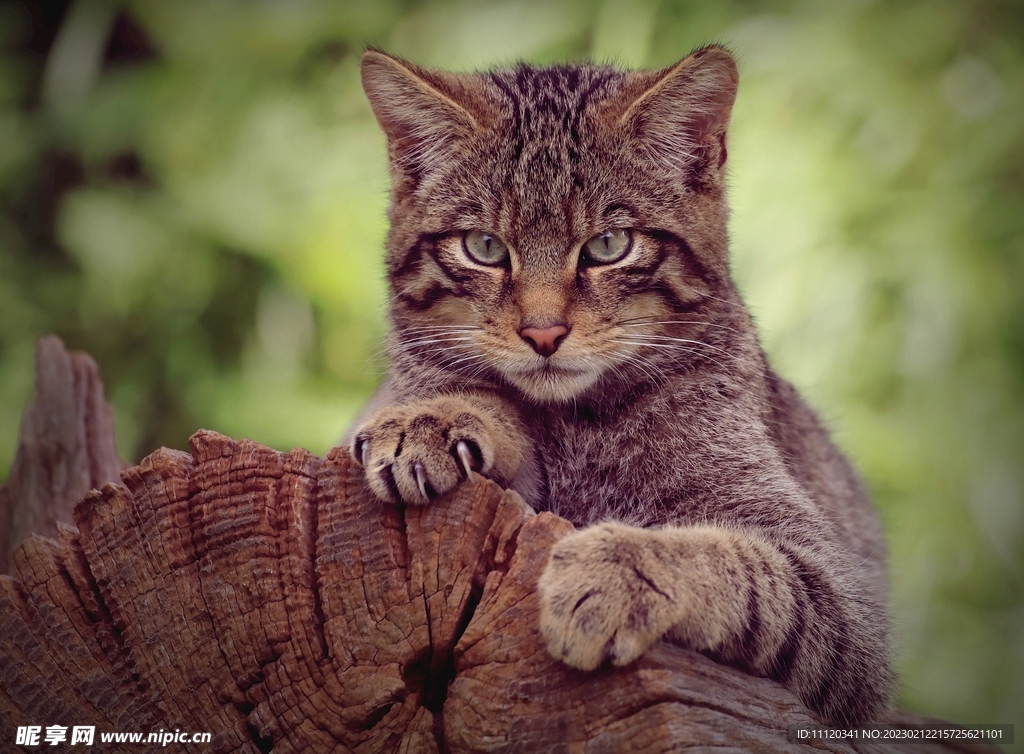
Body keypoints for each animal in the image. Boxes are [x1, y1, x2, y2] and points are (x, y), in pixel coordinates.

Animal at [350, 44, 888, 729]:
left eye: (608, 245)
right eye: (484, 247)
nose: (543, 332)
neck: (576, 426)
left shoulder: (840, 603)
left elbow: (740, 562)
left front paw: (621, 567)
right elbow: (479, 401)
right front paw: (432, 416)